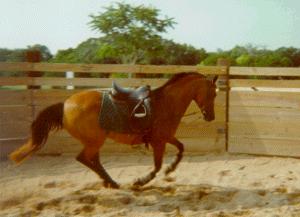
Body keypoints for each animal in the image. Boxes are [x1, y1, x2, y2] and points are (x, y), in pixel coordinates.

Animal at [9, 72, 218, 188]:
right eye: (212, 93)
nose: (211, 117)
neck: (165, 104)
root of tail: (65, 104)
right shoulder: (159, 141)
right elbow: (157, 166)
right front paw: (140, 181)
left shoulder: (166, 137)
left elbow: (181, 149)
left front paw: (170, 169)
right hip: (95, 140)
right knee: (84, 158)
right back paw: (111, 182)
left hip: (94, 141)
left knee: (93, 160)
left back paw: (109, 181)